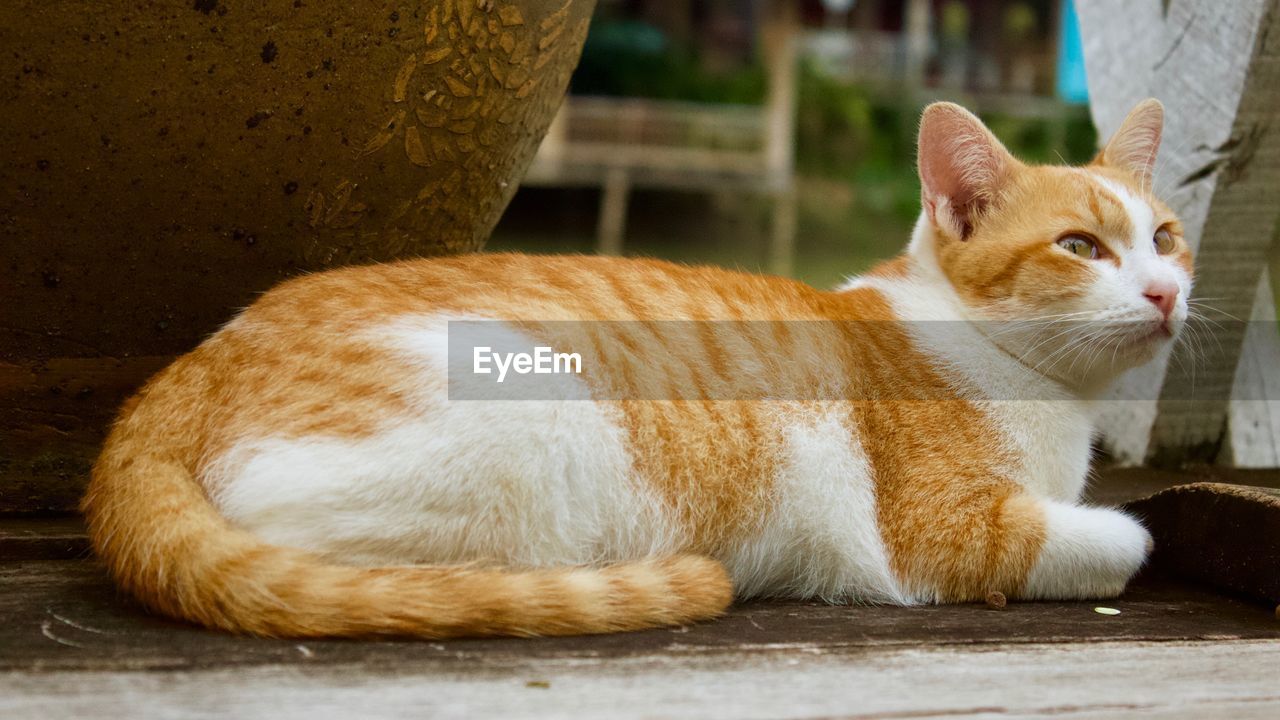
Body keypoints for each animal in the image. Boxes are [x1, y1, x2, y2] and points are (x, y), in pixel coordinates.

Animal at [85, 98, 1192, 635]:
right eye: (1079, 248)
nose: (1164, 294)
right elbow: (1125, 538)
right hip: (529, 434)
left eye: (1165, 238)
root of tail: (196, 362)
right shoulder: (937, 536)